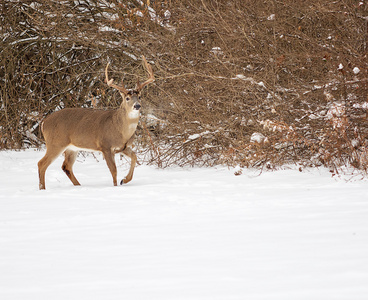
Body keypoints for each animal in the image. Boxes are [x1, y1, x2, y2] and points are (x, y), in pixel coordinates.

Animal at [36, 55, 154, 190]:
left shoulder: (124, 147)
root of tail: (44, 123)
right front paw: (116, 186)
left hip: (71, 148)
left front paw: (124, 180)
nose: (137, 106)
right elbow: (113, 170)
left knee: (66, 166)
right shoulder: (106, 146)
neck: (121, 130)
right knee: (41, 163)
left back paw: (79, 186)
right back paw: (43, 189)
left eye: (139, 97)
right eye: (127, 98)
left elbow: (134, 157)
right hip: (56, 143)